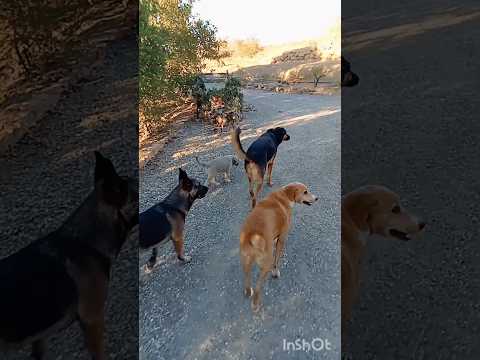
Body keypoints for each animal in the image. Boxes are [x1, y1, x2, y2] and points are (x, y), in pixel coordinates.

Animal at [238, 183, 316, 312]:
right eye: (305, 192)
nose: (316, 198)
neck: (283, 196)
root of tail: (252, 235)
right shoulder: (282, 239)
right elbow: (277, 260)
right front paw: (276, 272)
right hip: (265, 265)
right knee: (258, 286)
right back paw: (255, 304)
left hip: (245, 262)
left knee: (247, 279)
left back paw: (248, 291)